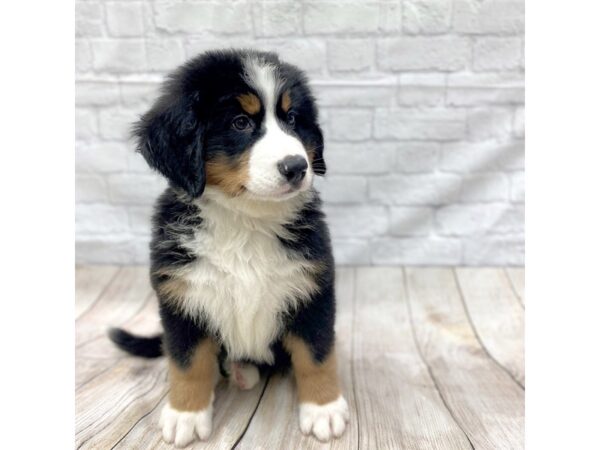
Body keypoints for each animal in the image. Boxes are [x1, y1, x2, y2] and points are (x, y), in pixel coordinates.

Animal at [110, 48, 350, 446]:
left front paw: (323, 409)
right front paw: (186, 415)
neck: (245, 220)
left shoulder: (312, 289)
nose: (296, 166)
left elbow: (317, 355)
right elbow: (188, 363)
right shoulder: (181, 298)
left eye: (292, 119)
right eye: (240, 123)